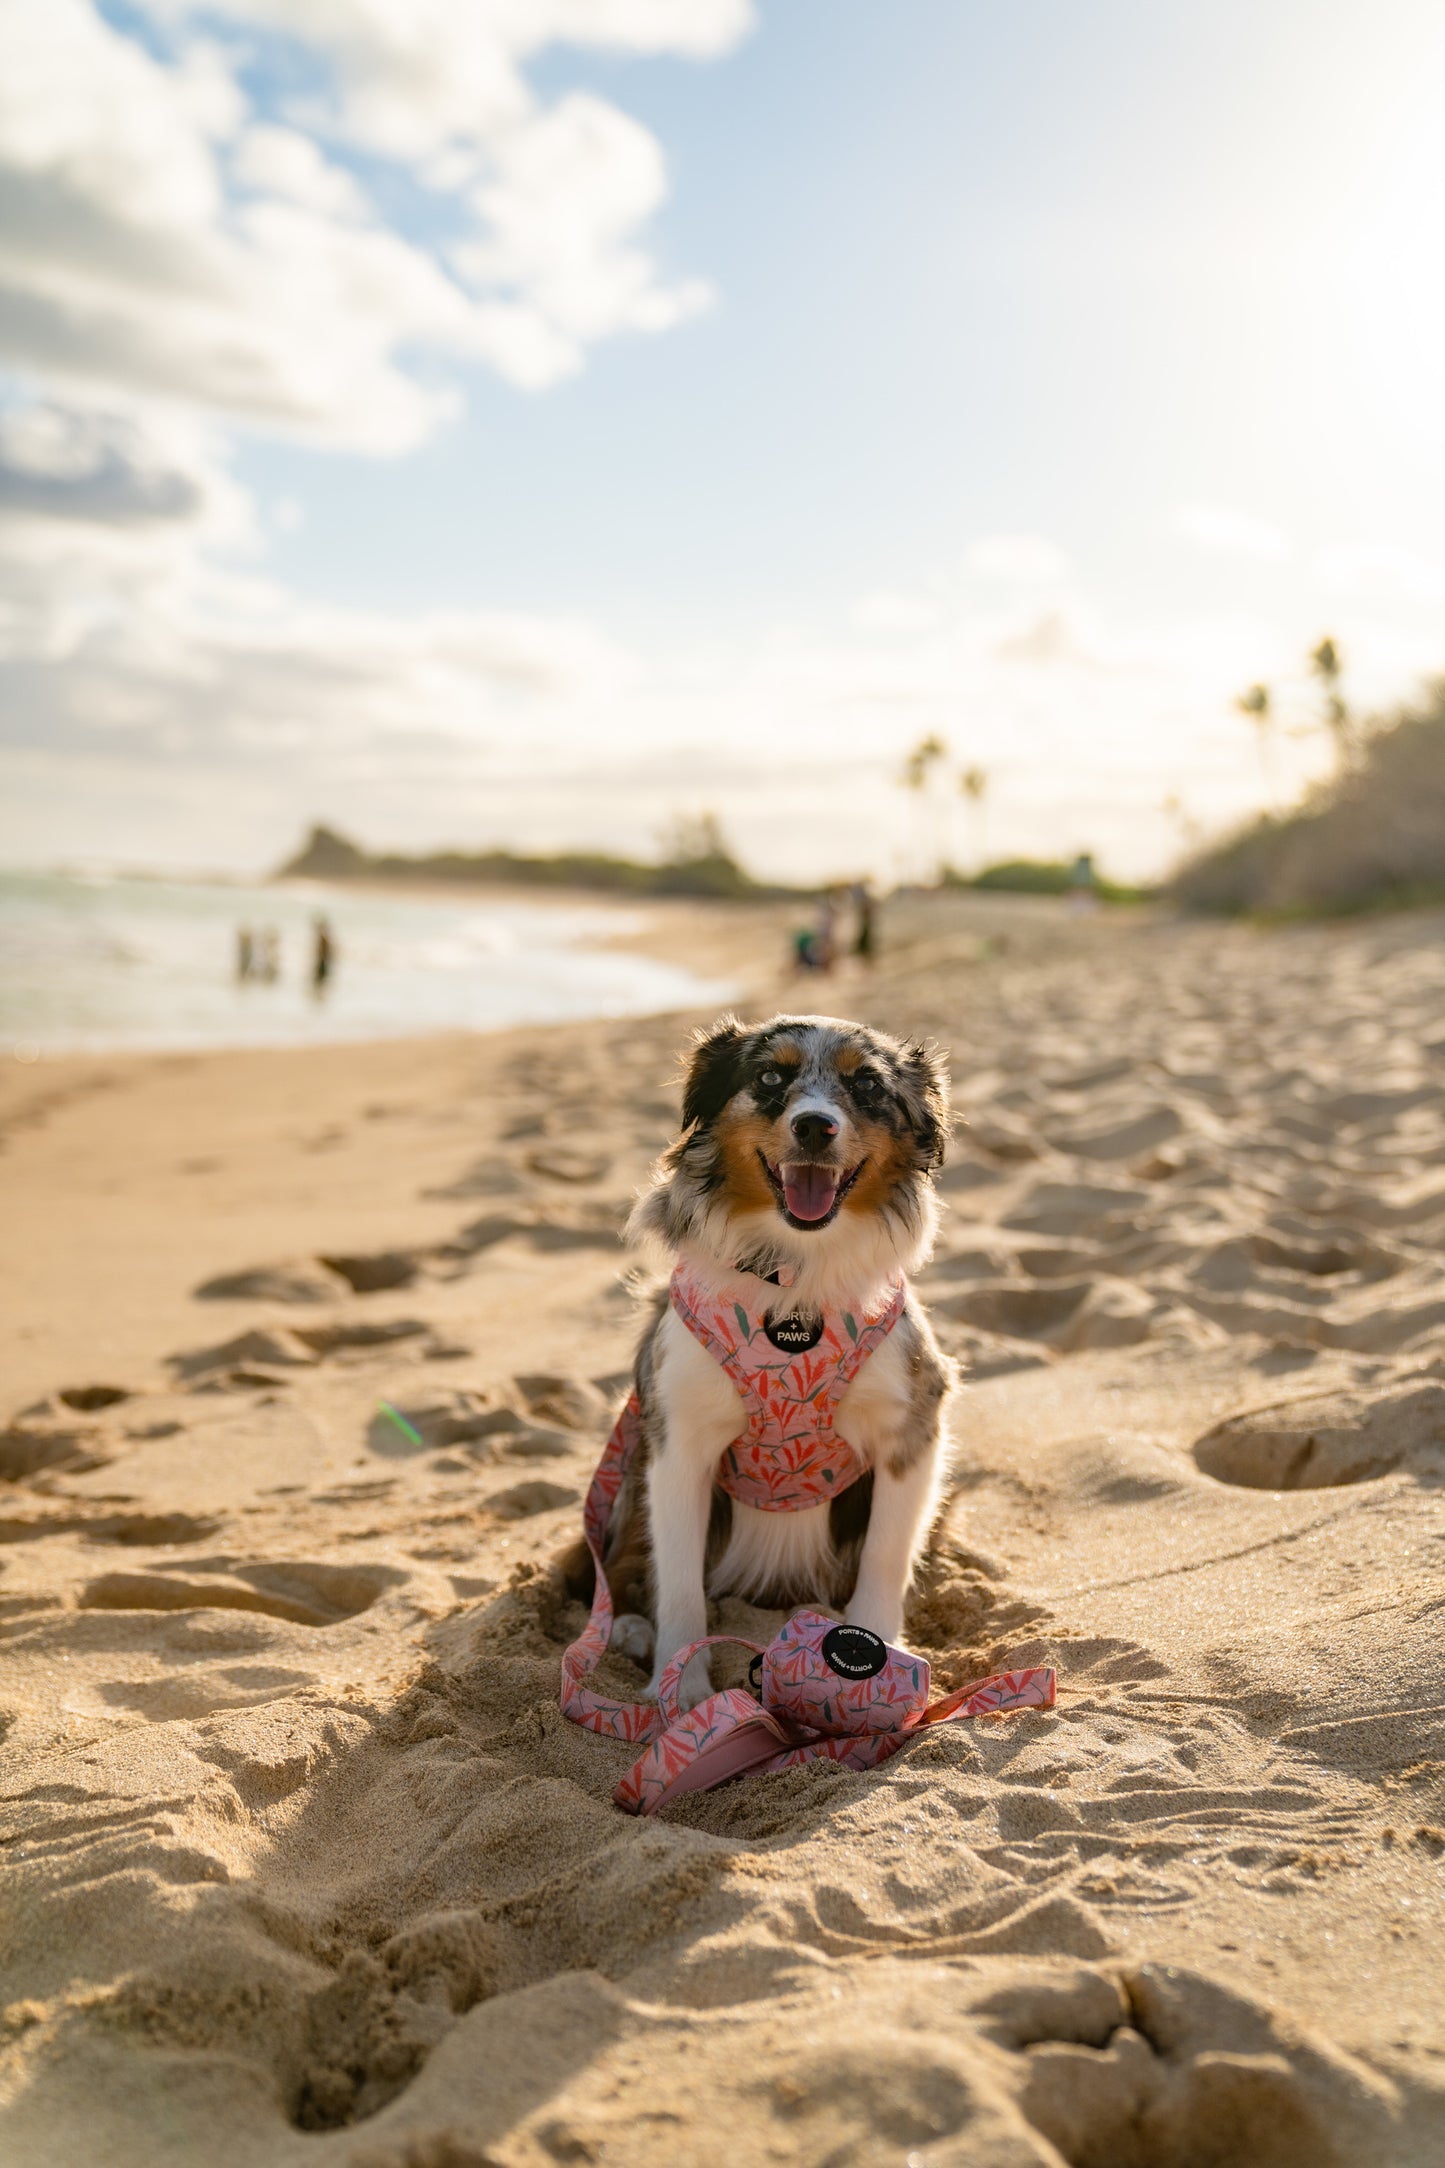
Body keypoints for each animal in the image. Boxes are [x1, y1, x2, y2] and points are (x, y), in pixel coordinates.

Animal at [593, 1010, 953, 1708]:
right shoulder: (678, 1440)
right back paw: (627, 1627)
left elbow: (886, 1557)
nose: (815, 1125)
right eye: (769, 1078)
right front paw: (683, 1688)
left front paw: (876, 1664)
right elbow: (679, 1581)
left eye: (867, 1084)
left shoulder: (911, 1428)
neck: (795, 1283)